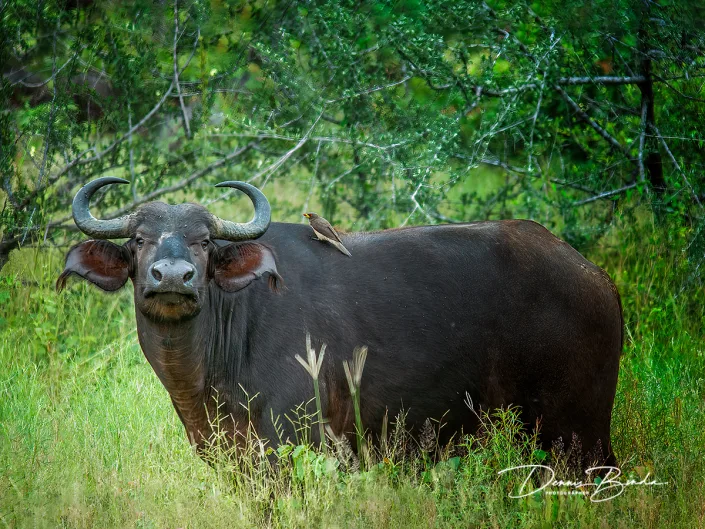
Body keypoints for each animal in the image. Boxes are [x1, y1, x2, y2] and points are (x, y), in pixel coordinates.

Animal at [58, 177, 622, 466]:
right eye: (139, 240)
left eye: (203, 242)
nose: (173, 276)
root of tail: (597, 280)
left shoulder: (290, 445)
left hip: (581, 432)